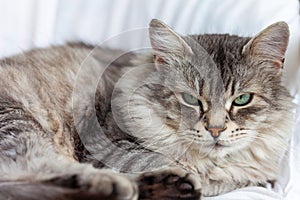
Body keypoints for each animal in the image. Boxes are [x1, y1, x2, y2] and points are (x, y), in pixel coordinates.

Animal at [0, 18, 294, 199]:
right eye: (190, 99)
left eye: (242, 99)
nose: (215, 129)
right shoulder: (103, 144)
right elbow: (152, 158)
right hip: (19, 121)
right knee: (29, 168)